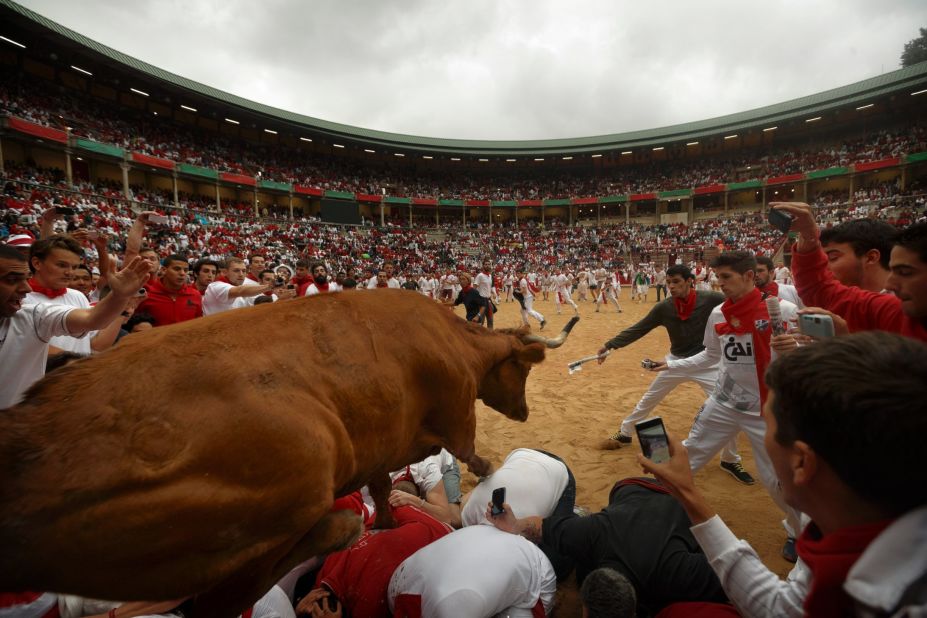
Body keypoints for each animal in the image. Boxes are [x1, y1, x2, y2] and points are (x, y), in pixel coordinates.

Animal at [0, 290, 576, 616]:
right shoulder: (455, 413)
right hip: (290, 481)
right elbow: (474, 456)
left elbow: (383, 486)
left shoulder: (382, 446)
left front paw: (388, 522)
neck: (450, 339)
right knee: (227, 595)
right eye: (521, 370)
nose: (524, 412)